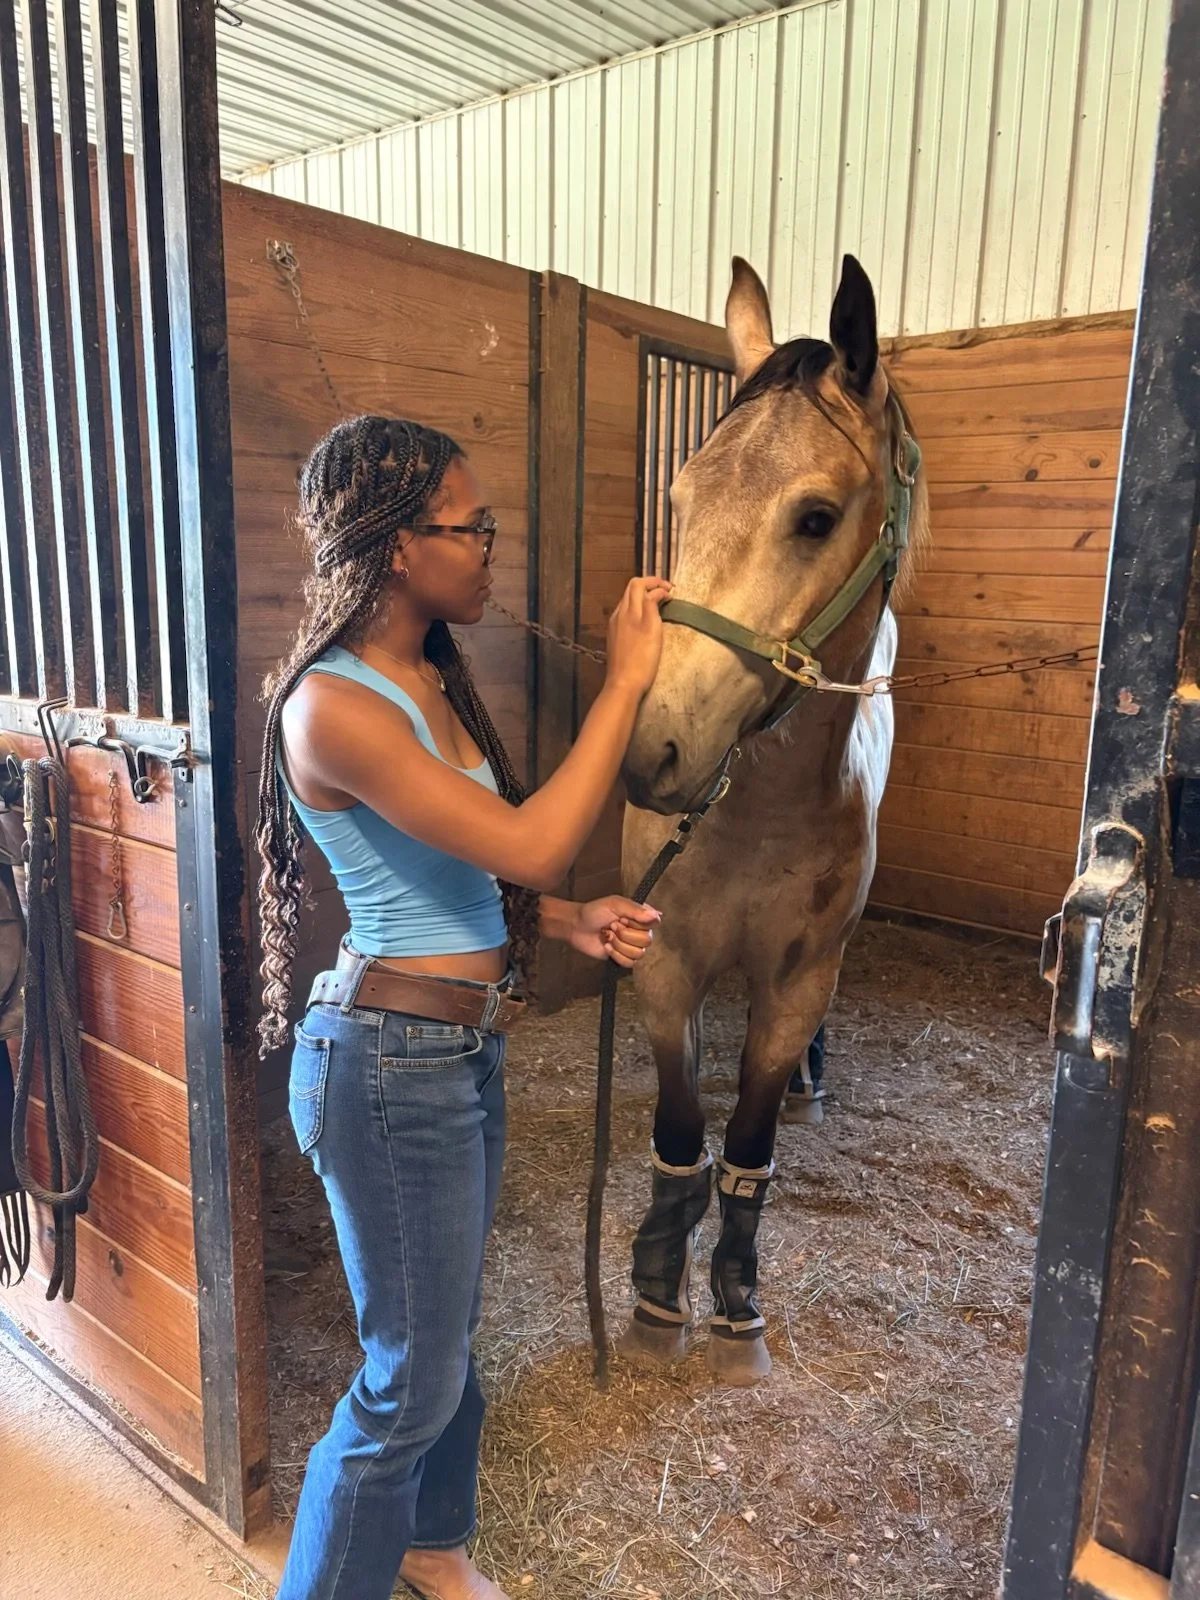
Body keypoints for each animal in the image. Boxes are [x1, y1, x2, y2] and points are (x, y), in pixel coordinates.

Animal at [617, 253, 926, 1387]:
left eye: (816, 516)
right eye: (682, 494)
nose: (652, 754)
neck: (750, 818)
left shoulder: (796, 979)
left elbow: (747, 1147)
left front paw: (735, 1302)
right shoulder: (664, 962)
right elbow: (679, 1129)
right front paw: (657, 1286)